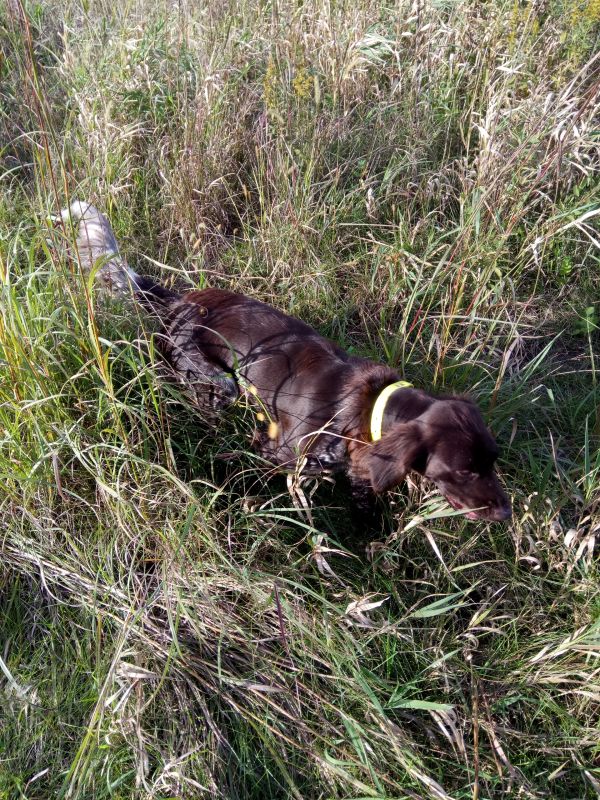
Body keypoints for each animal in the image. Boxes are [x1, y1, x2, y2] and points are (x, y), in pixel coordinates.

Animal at [52, 201, 512, 522]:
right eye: (465, 471)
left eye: (492, 461)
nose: (506, 513)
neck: (370, 410)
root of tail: (181, 300)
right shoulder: (276, 454)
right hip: (215, 379)